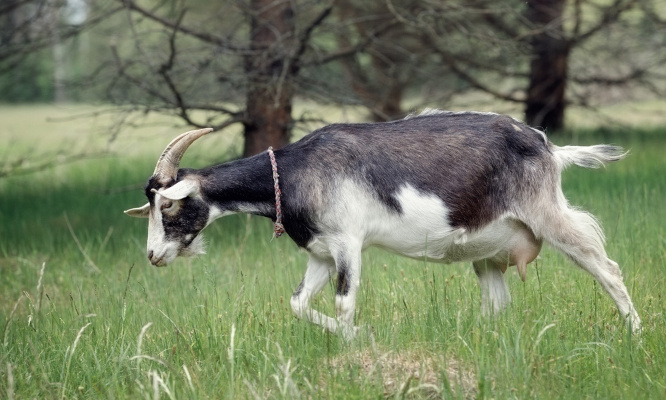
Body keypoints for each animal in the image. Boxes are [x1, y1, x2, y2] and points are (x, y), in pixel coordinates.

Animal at [125, 110, 641, 338]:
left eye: (167, 207)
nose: (153, 255)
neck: (295, 170)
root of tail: (549, 148)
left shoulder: (348, 245)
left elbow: (344, 303)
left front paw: (355, 345)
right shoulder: (321, 252)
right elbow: (297, 303)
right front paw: (358, 339)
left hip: (547, 214)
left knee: (607, 267)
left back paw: (635, 334)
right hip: (488, 252)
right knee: (497, 302)